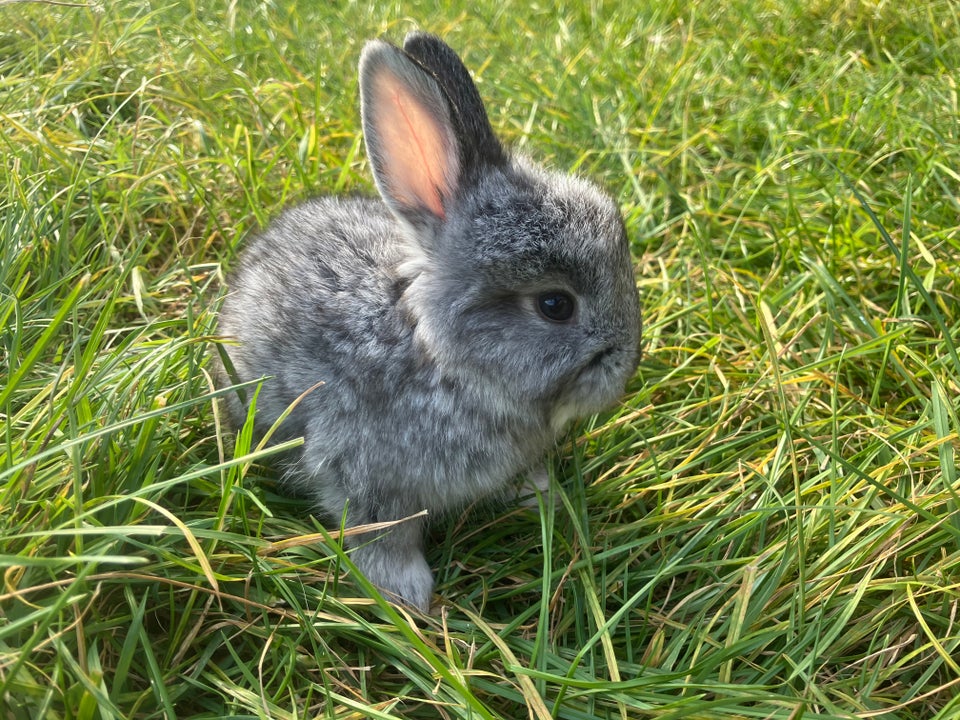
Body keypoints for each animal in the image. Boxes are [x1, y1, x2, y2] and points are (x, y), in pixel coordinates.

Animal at [214, 31, 640, 612]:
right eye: (556, 305)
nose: (628, 363)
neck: (444, 361)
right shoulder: (362, 474)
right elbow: (381, 533)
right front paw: (406, 594)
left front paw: (540, 494)